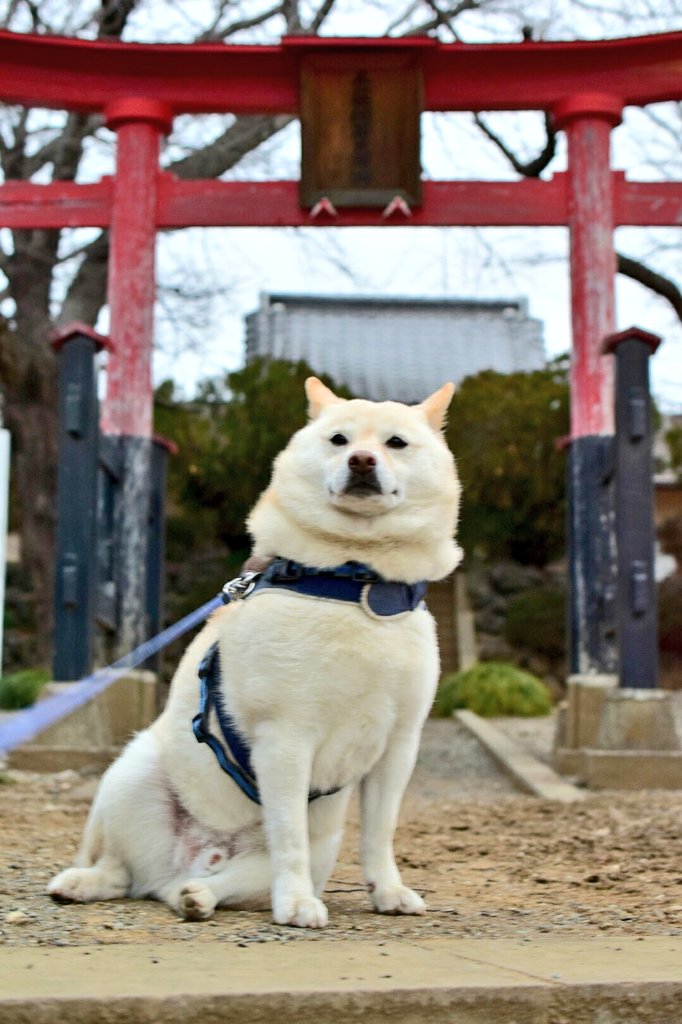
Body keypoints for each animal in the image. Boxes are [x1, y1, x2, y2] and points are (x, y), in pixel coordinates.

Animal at [49, 376, 462, 929]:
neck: (355, 583)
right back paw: (81, 882)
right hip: (130, 777)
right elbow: (289, 838)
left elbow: (379, 835)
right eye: (338, 440)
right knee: (119, 870)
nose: (361, 460)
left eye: (396, 443)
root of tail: (195, 856)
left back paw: (197, 895)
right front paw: (297, 904)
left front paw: (388, 892)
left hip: (314, 851)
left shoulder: (398, 747)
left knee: (189, 886)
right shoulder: (285, 739)